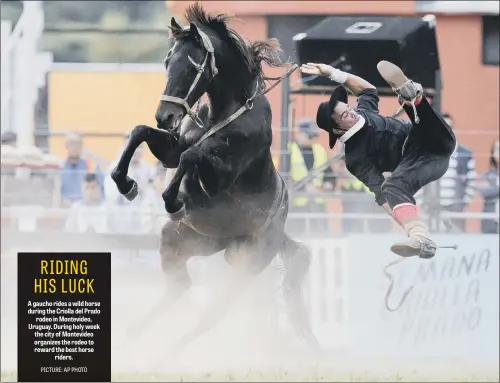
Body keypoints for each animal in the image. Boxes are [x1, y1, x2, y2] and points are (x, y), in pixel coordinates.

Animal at [112, 3, 318, 352]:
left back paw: (170, 349)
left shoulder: (220, 176)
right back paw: (135, 334)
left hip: (244, 268)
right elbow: (143, 133)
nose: (165, 116)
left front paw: (174, 200)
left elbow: (192, 155)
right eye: (168, 61)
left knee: (211, 316)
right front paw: (126, 184)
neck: (227, 112)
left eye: (191, 66)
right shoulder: (172, 146)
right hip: (182, 242)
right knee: (180, 286)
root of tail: (282, 237)